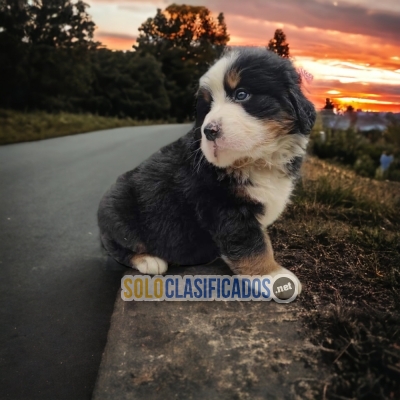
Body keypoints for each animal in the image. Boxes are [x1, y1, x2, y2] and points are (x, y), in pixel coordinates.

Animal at [97, 47, 316, 290]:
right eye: (207, 106)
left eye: (242, 95)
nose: (209, 131)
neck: (255, 160)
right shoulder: (224, 206)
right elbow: (253, 245)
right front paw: (273, 276)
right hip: (117, 210)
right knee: (117, 246)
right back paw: (149, 260)